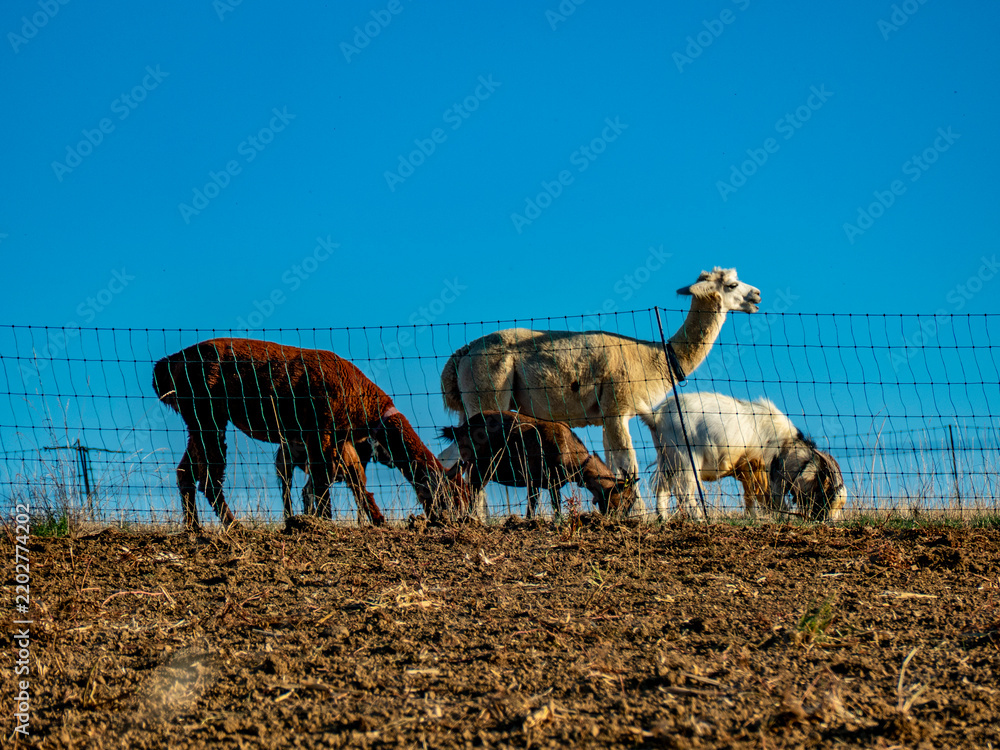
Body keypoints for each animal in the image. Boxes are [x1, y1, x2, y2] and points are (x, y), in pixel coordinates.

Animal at [153, 338, 469, 528]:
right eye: (452, 498)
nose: (463, 520)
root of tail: (170, 362)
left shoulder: (335, 438)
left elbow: (334, 480)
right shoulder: (322, 428)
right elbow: (321, 481)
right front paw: (322, 523)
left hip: (199, 418)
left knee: (185, 472)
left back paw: (194, 529)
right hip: (207, 413)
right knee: (209, 477)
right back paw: (234, 526)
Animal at [440, 411, 636, 518]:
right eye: (627, 499)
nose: (622, 517)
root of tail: (461, 428)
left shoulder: (534, 482)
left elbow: (532, 506)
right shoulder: (551, 481)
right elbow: (556, 506)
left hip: (466, 462)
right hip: (482, 467)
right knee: (471, 490)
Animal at [639, 392, 847, 521]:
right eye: (826, 495)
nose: (827, 522)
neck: (786, 445)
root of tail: (656, 415)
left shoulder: (748, 471)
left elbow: (749, 498)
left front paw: (752, 518)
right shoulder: (763, 470)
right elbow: (773, 499)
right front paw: (782, 517)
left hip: (667, 458)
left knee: (663, 487)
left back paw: (663, 518)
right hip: (686, 459)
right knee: (684, 492)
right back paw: (699, 518)